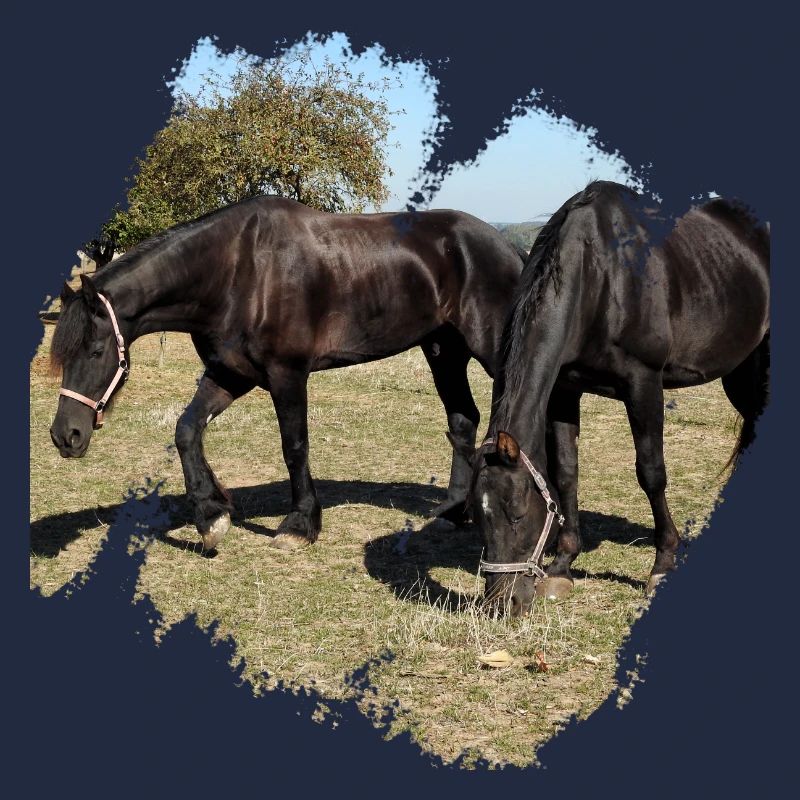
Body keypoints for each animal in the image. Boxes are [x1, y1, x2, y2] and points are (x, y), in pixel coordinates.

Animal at [49, 196, 524, 551]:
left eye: (95, 351)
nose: (65, 436)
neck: (238, 271)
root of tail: (508, 247)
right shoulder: (230, 373)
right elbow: (187, 430)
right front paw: (211, 515)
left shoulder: (287, 375)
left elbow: (294, 447)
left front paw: (300, 525)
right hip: (443, 351)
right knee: (462, 420)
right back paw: (454, 512)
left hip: (490, 350)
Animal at [470, 180, 770, 616]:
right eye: (478, 516)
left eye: (517, 513)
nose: (501, 604)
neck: (601, 275)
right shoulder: (565, 389)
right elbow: (566, 472)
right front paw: (562, 565)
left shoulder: (643, 384)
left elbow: (651, 473)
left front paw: (662, 563)